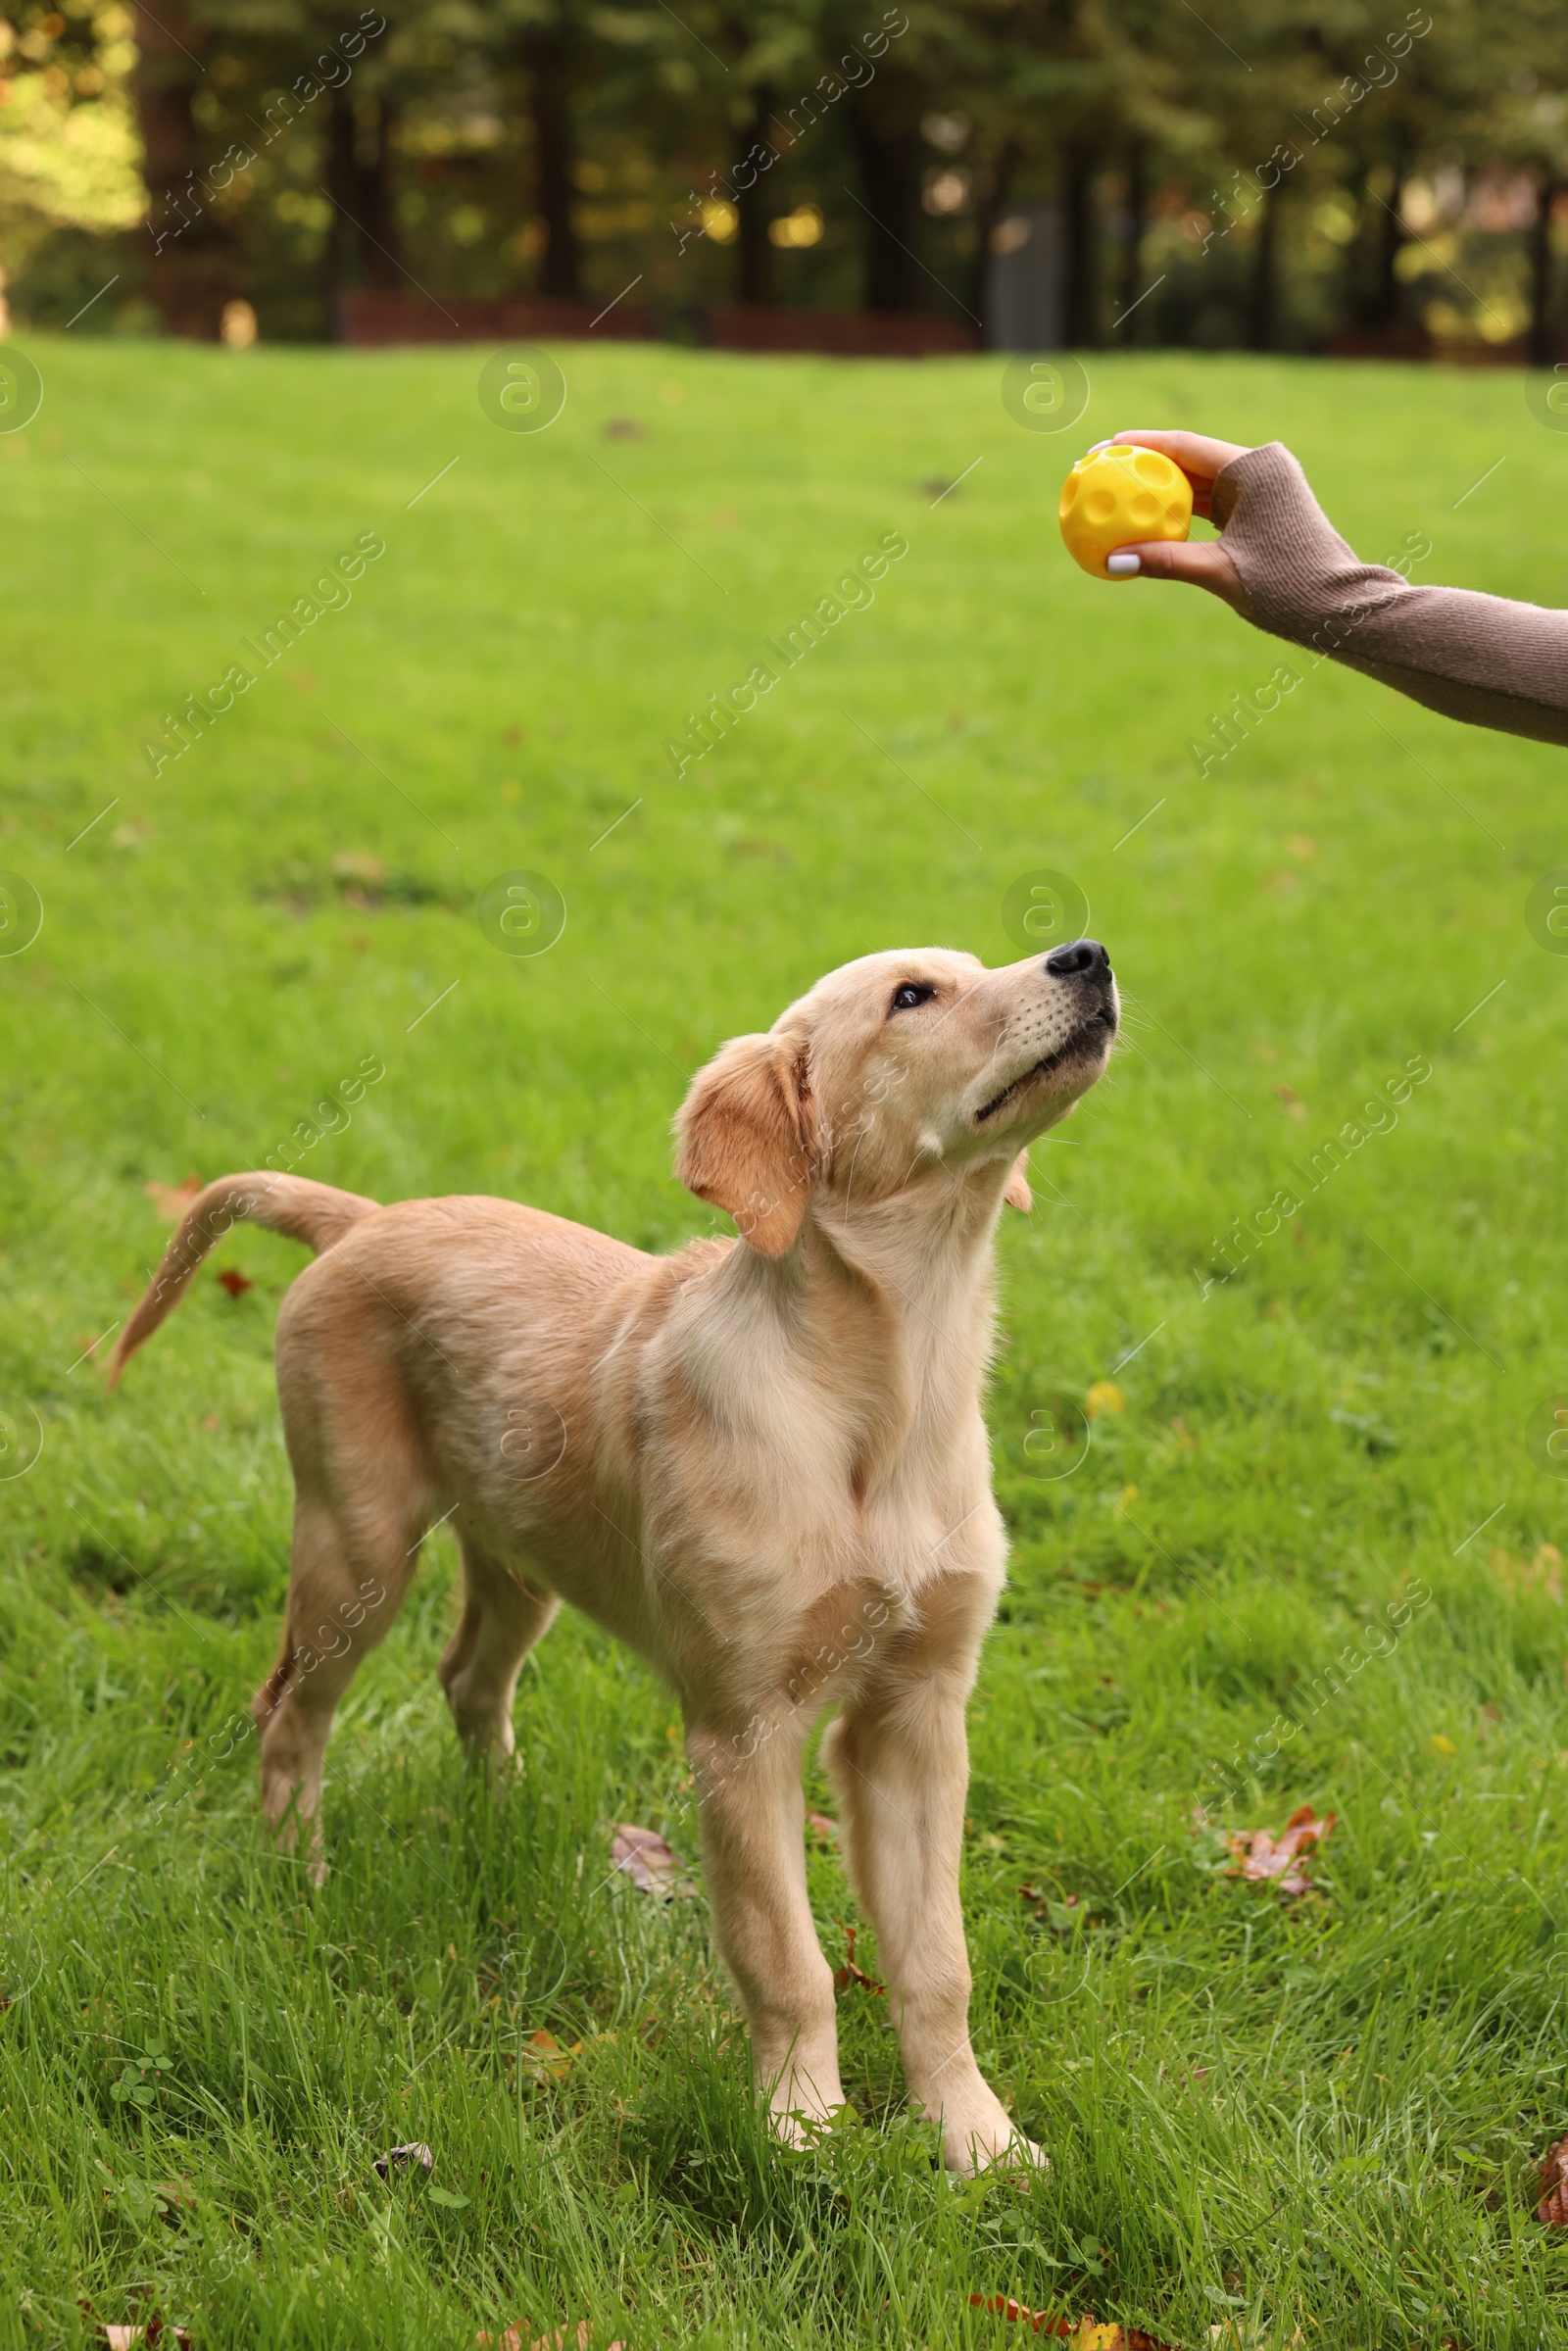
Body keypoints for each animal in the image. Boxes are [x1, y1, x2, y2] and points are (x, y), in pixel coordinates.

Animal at [110, 931, 1114, 2163]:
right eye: (912, 996)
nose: (1088, 952)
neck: (887, 1390)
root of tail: (363, 1217)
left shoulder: (918, 1711)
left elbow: (938, 1958)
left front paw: (976, 2139)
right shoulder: (741, 1727)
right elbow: (784, 1954)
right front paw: (802, 2131)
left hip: (519, 1555)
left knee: (467, 1677)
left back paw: (504, 1821)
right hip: (357, 1545)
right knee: (290, 1707)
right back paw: (299, 1874)